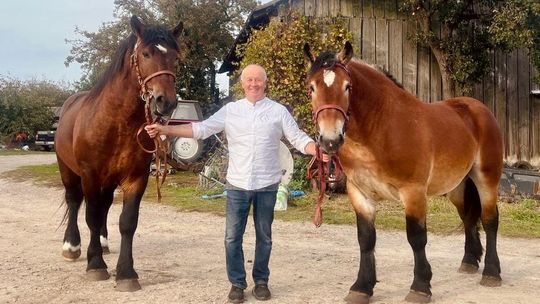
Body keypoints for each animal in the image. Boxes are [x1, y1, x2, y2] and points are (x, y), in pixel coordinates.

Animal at [56, 16, 184, 292]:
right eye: (146, 53)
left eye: (175, 57)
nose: (165, 101)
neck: (116, 123)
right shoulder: (90, 176)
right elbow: (91, 217)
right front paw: (95, 265)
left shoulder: (135, 178)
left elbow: (127, 222)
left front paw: (126, 273)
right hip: (68, 171)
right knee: (74, 202)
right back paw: (72, 246)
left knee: (104, 207)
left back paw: (103, 244)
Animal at [306, 41, 504, 302]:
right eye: (311, 87)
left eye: (347, 86)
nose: (330, 140)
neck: (382, 129)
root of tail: (478, 108)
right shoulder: (360, 194)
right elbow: (365, 239)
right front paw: (361, 287)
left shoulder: (414, 193)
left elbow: (416, 238)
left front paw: (420, 287)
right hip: (457, 186)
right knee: (469, 217)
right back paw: (469, 262)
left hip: (486, 179)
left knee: (490, 220)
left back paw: (491, 273)